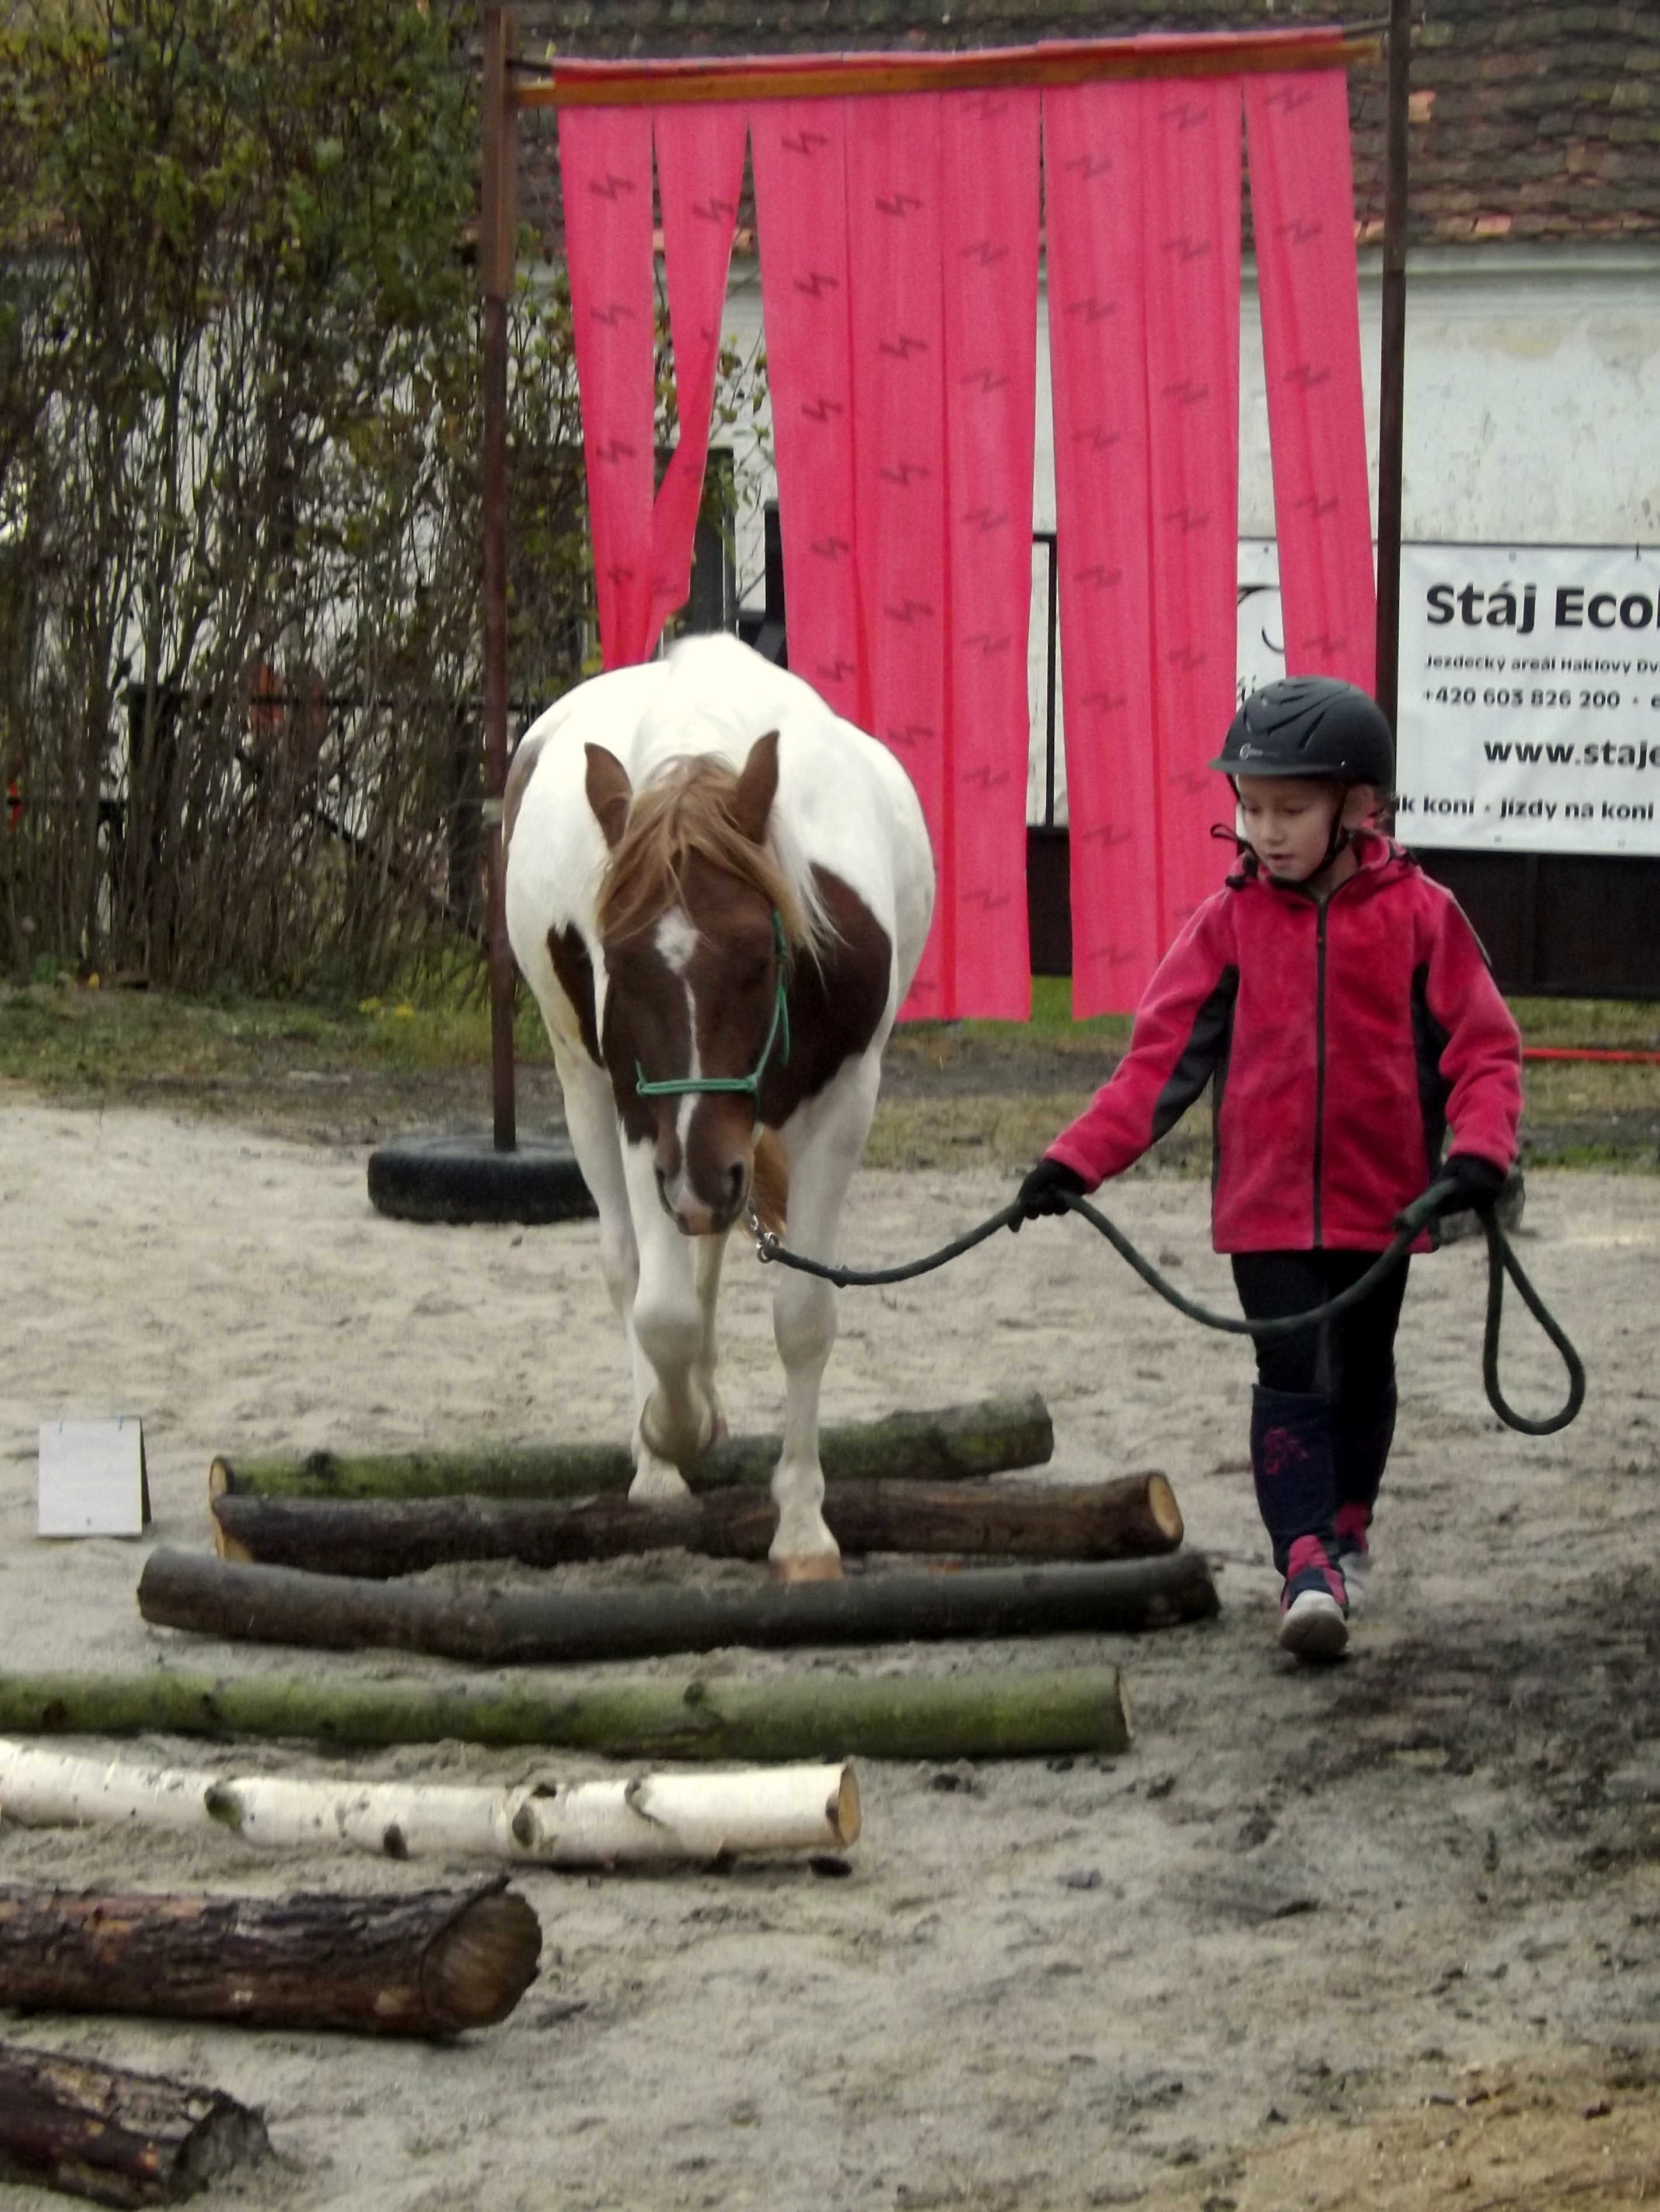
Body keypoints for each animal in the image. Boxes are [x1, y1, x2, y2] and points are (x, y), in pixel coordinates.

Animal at [504, 633, 938, 1584]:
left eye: (757, 957)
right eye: (619, 962)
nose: (701, 1177)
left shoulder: (840, 1104)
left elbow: (803, 1316)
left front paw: (803, 1528)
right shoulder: (645, 1113)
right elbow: (659, 1310)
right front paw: (673, 1434)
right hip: (590, 1091)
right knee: (634, 1264)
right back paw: (663, 1452)